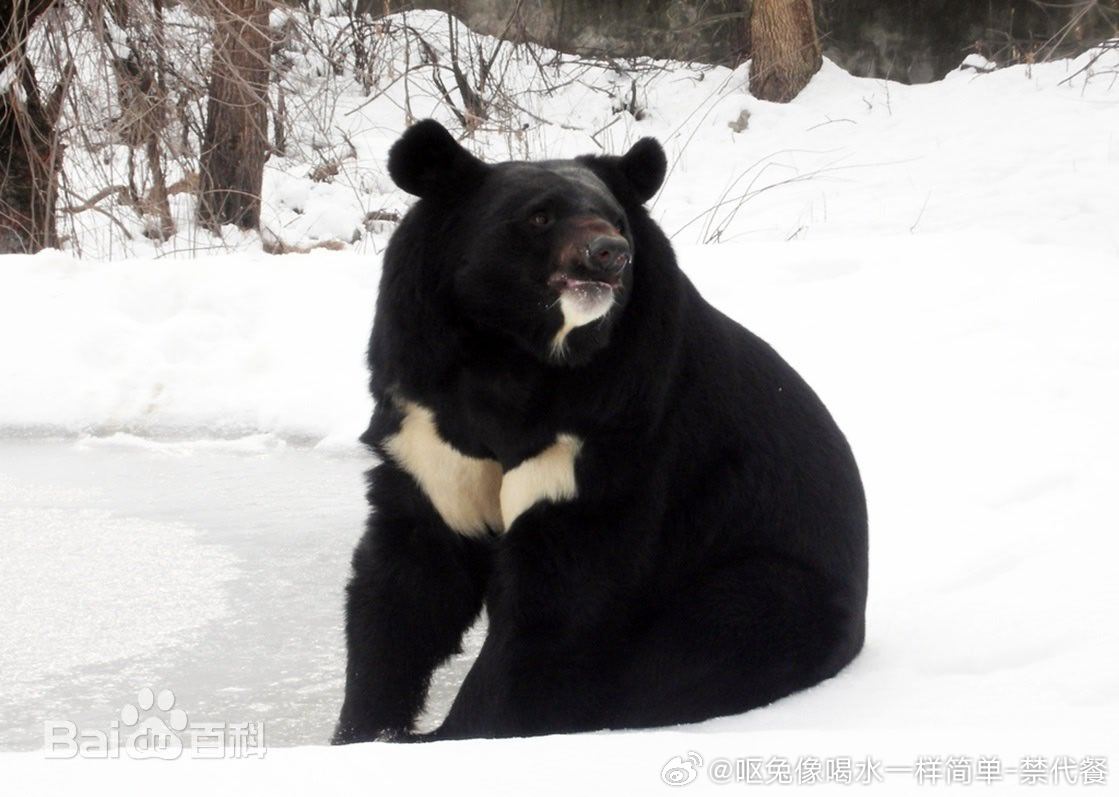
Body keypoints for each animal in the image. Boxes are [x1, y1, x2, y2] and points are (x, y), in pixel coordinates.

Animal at [333, 119, 868, 743]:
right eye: (539, 217)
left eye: (614, 219)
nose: (610, 254)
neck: (512, 354)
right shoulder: (424, 417)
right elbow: (410, 579)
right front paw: (368, 731)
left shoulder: (617, 423)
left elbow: (563, 592)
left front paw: (459, 733)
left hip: (769, 578)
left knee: (706, 637)